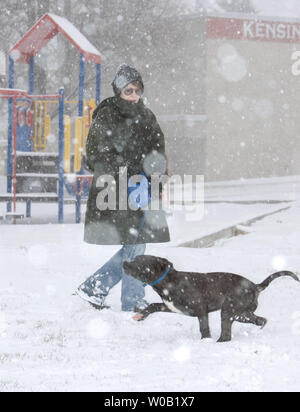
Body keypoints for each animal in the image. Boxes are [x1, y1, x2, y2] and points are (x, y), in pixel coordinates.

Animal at [123, 256, 298, 342]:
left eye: (139, 261)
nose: (124, 262)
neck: (168, 282)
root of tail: (255, 286)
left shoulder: (201, 310)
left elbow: (204, 328)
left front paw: (205, 341)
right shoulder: (170, 307)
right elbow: (153, 305)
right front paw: (140, 315)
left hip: (228, 311)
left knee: (227, 335)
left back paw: (219, 342)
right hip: (241, 313)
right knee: (260, 320)